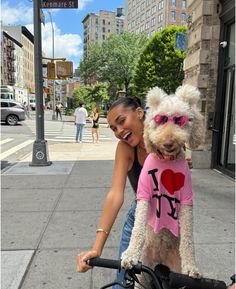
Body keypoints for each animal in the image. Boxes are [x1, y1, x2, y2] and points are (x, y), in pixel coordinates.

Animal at [121, 83, 204, 286]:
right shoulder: (144, 194)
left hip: (175, 271)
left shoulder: (187, 199)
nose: (167, 142)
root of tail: (160, 261)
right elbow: (138, 227)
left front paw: (192, 267)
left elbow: (188, 238)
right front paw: (130, 254)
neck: (166, 161)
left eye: (180, 120)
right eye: (160, 119)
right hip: (143, 273)